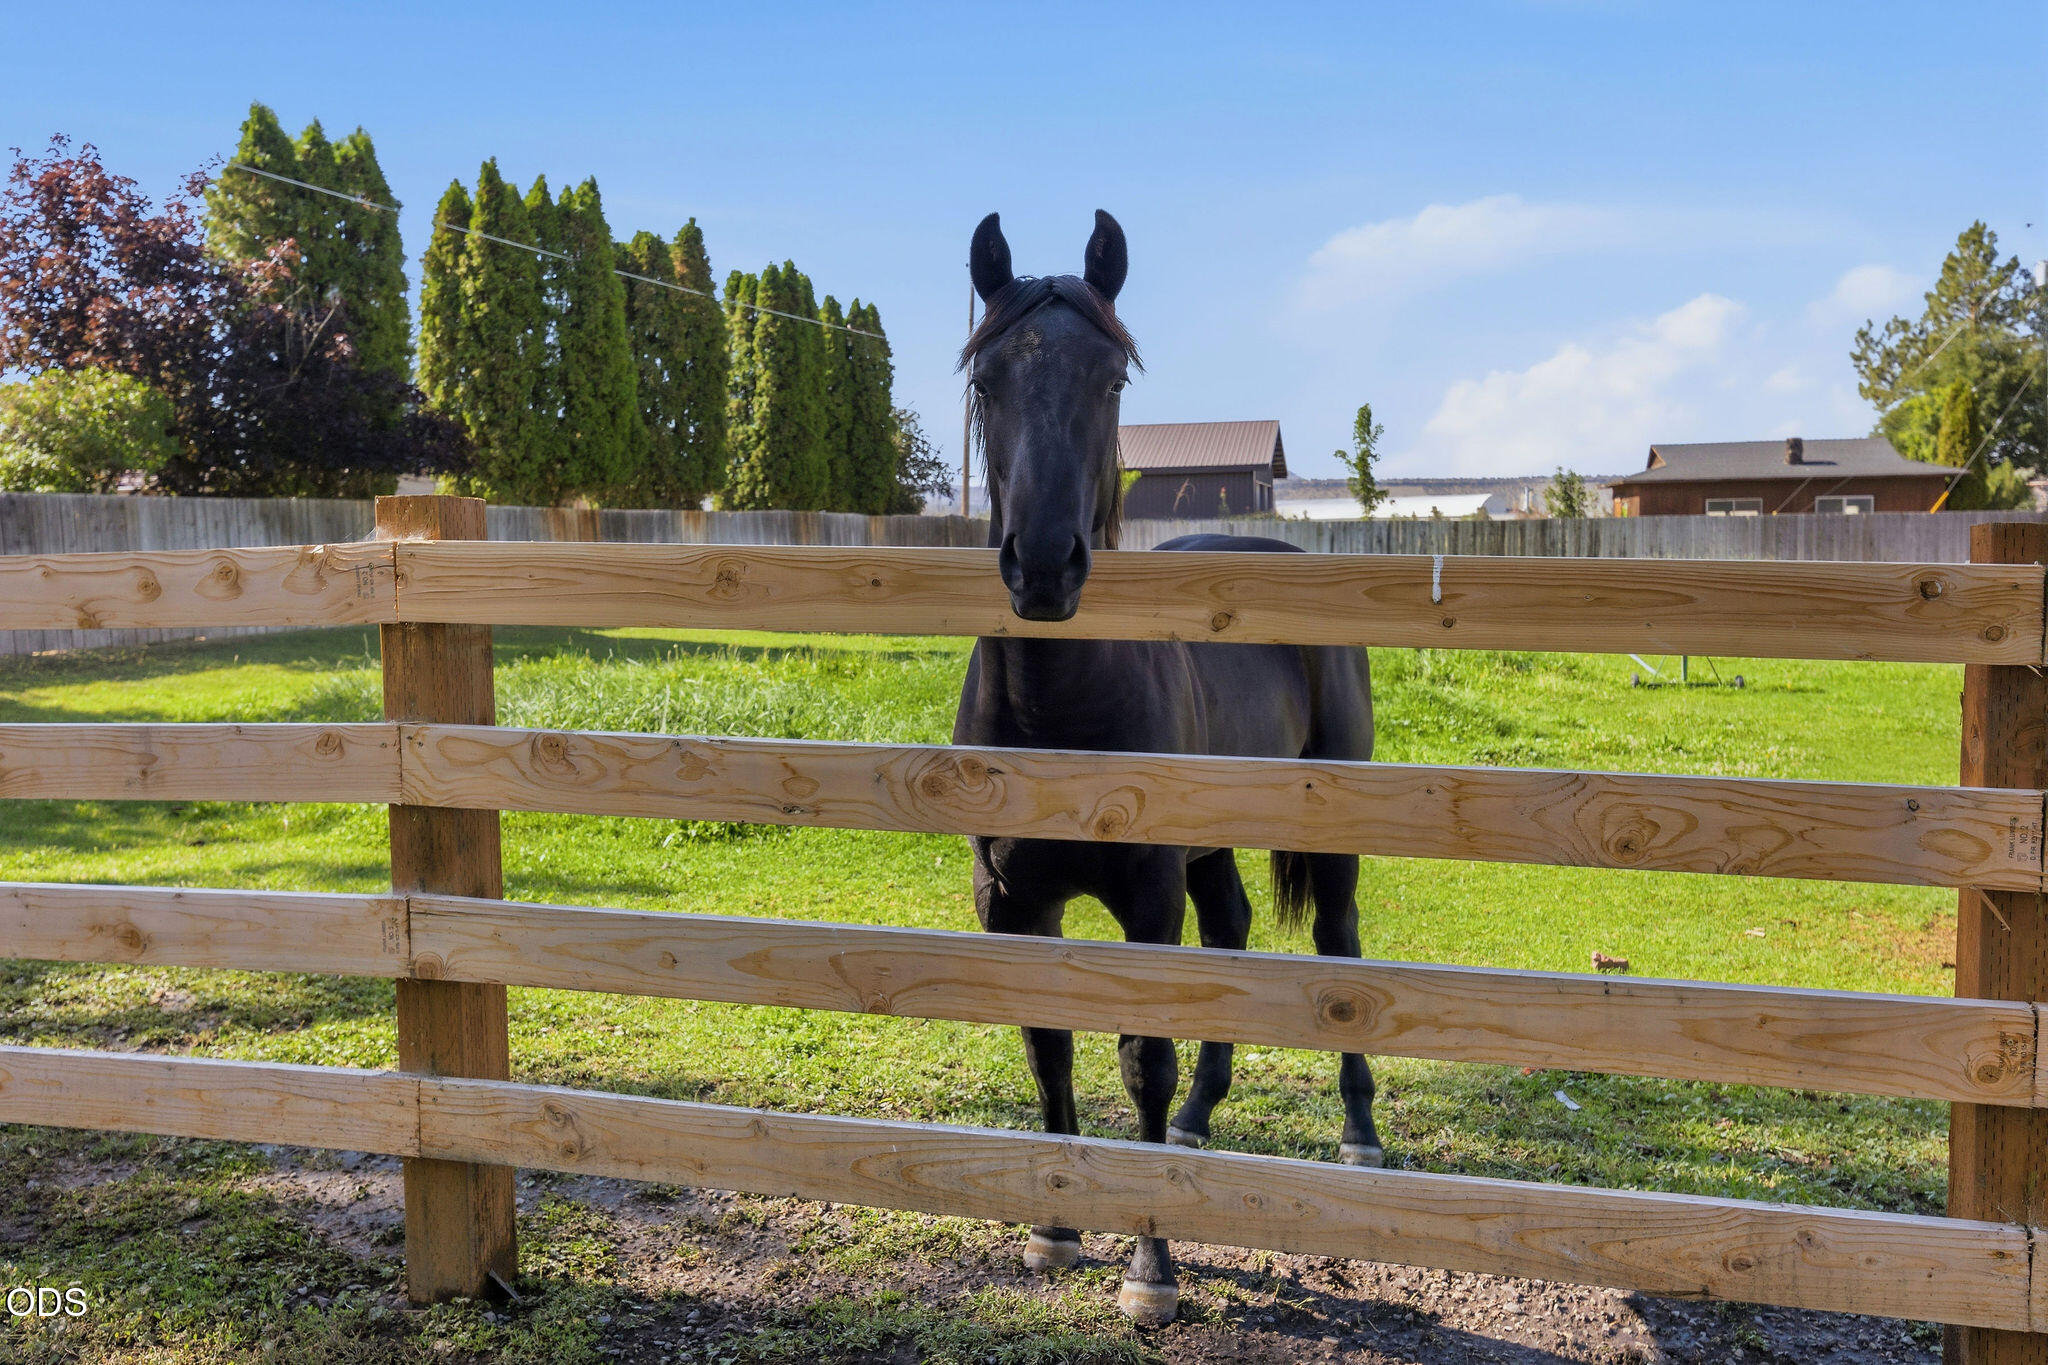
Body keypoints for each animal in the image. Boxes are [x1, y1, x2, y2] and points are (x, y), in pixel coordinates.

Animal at [951, 209, 1380, 1326]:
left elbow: (1141, 1056)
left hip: (1327, 830)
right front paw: (1056, 1227)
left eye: (1112, 380)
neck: (1057, 709)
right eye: (985, 382)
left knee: (1338, 946)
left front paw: (1151, 1269)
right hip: (1213, 844)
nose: (1043, 566)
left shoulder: (1146, 896)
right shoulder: (1011, 901)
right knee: (1231, 935)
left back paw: (1359, 1134)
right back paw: (1197, 1120)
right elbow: (1047, 1045)